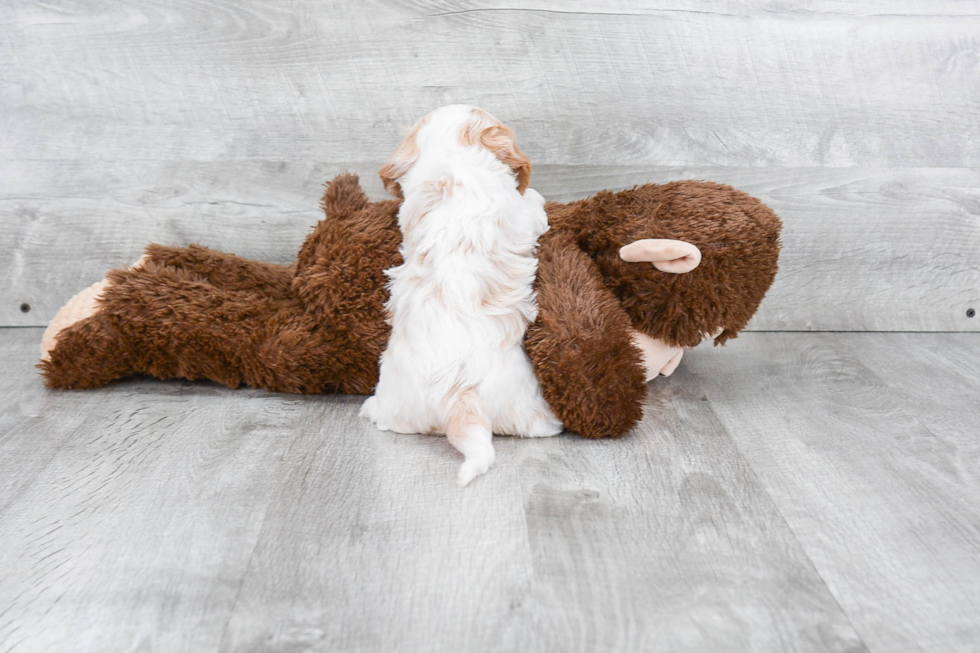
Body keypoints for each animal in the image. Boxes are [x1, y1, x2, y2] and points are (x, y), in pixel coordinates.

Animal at [360, 103, 564, 484]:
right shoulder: (520, 212)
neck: (453, 156)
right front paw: (536, 195)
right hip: (524, 404)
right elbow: (531, 205)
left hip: (402, 403)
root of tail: (456, 393)